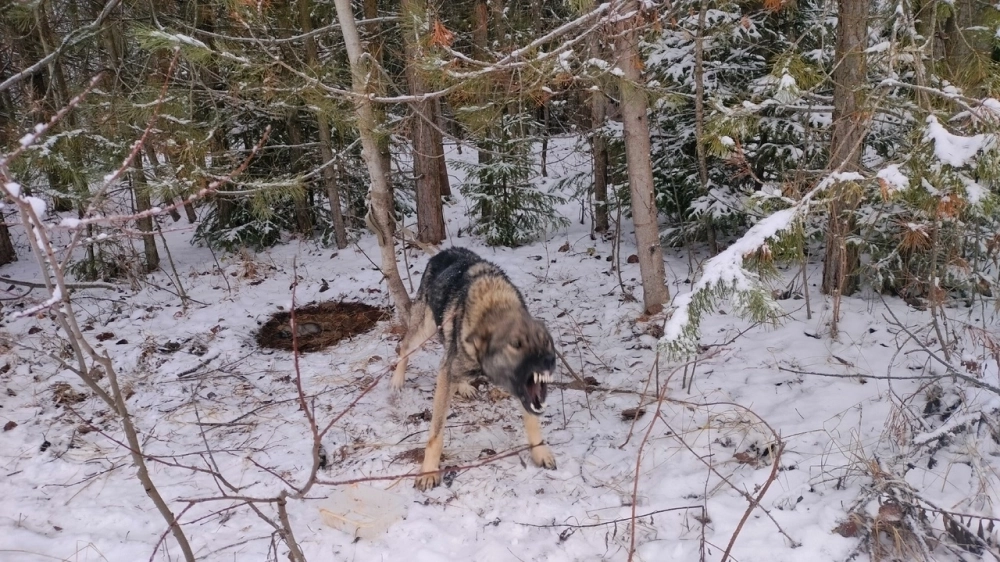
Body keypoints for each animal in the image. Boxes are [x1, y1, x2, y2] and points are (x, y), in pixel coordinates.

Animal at [392, 247, 564, 488]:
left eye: (546, 342)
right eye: (516, 345)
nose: (549, 360)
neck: (494, 304)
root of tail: (444, 251)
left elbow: (532, 421)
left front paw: (539, 452)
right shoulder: (447, 371)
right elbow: (436, 434)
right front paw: (428, 471)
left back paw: (463, 386)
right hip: (424, 331)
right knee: (404, 347)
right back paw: (397, 380)